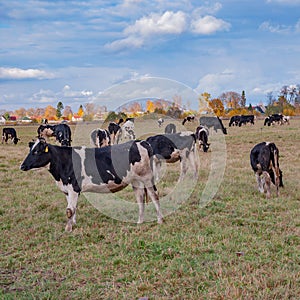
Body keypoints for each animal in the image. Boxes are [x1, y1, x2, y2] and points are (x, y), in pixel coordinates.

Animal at [20, 137, 163, 231]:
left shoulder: (74, 188)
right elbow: (72, 208)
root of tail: (141, 141)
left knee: (154, 195)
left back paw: (160, 220)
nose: (22, 166)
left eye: (37, 151)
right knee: (140, 198)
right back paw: (140, 222)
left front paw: (68, 229)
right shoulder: (67, 190)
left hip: (147, 177)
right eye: (30, 150)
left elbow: (69, 210)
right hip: (135, 180)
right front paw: (73, 224)